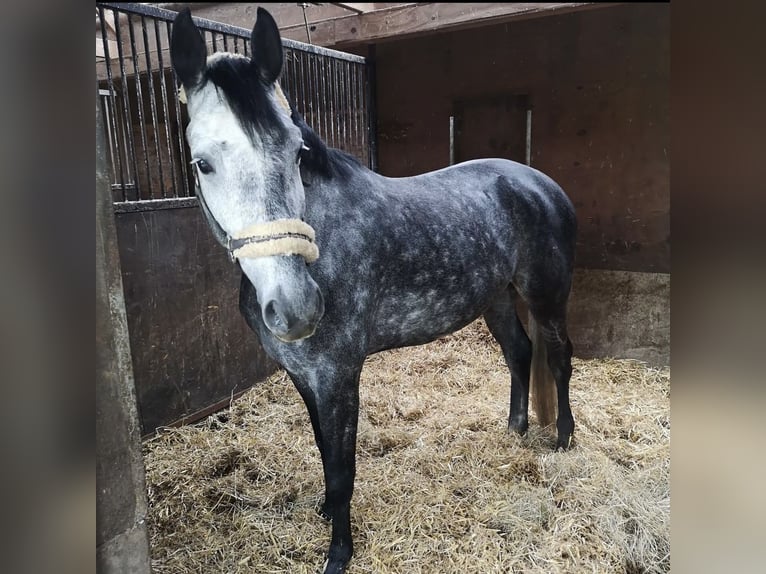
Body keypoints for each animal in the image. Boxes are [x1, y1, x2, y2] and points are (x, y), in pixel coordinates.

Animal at [170, 7, 577, 573]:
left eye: (296, 152)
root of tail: (541, 184)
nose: (297, 309)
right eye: (202, 163)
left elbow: (343, 467)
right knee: (519, 353)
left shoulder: (338, 375)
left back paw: (563, 438)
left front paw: (339, 553)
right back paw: (514, 430)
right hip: (496, 297)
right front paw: (324, 512)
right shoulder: (304, 377)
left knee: (558, 356)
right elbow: (324, 450)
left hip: (546, 295)